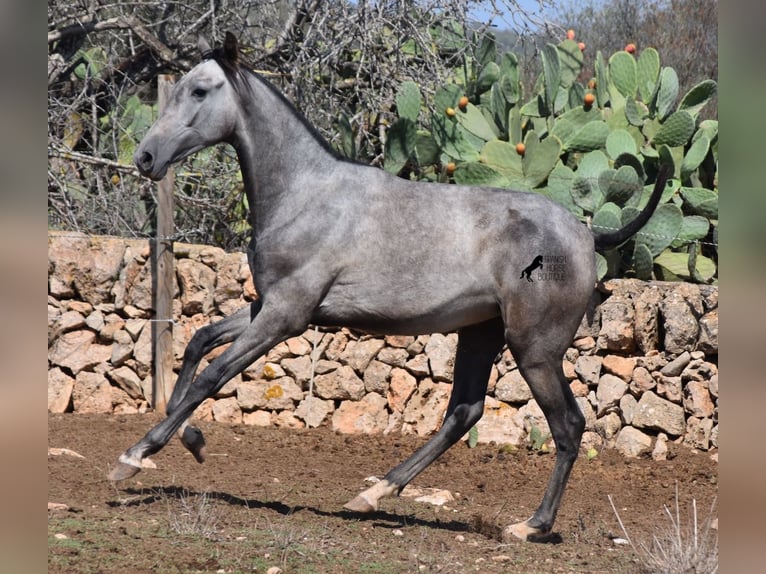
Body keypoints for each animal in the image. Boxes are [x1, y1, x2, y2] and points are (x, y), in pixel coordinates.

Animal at [109, 32, 672, 544]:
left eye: (200, 91)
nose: (145, 157)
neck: (304, 195)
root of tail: (587, 233)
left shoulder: (285, 315)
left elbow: (213, 375)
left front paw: (133, 457)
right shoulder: (269, 307)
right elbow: (198, 344)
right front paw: (188, 440)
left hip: (534, 349)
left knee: (567, 425)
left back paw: (530, 526)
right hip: (481, 333)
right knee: (463, 412)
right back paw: (374, 493)